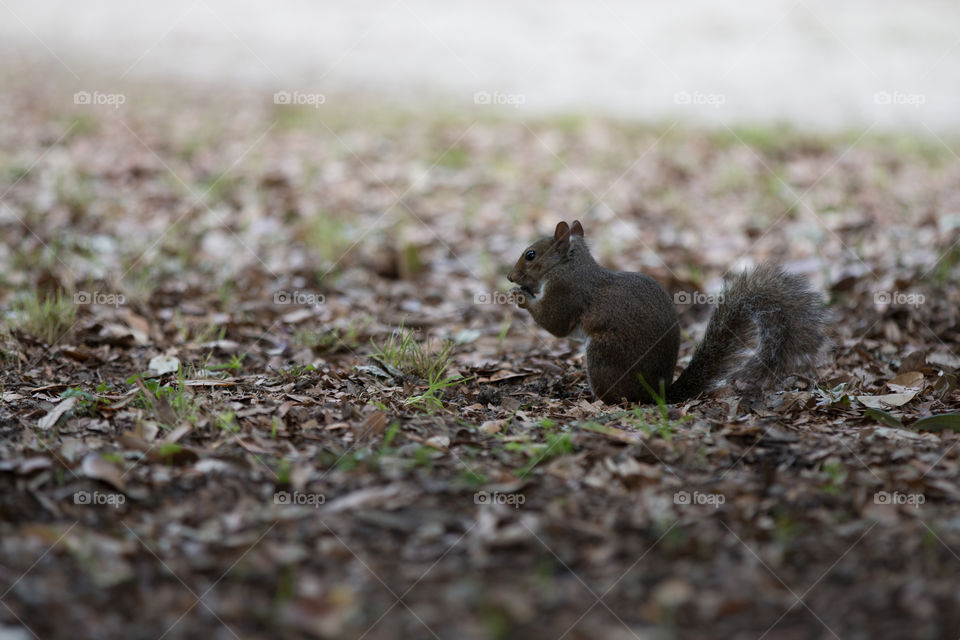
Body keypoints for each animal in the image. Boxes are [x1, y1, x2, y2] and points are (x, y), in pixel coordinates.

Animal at [507, 220, 827, 404]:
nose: (510, 277)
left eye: (530, 255)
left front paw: (520, 297)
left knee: (618, 398)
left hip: (602, 354)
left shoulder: (566, 291)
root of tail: (657, 394)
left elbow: (555, 324)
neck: (570, 265)